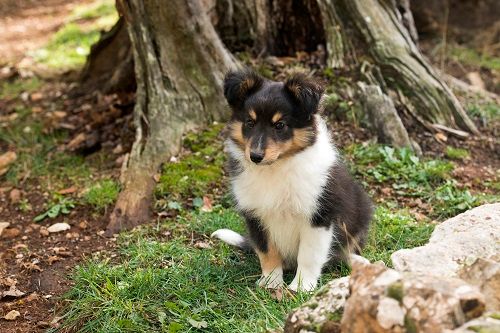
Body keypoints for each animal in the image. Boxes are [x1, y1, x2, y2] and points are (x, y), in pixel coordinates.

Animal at [210, 68, 372, 290]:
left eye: (280, 125)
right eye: (250, 122)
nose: (255, 156)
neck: (276, 168)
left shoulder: (319, 216)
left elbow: (309, 255)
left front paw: (301, 287)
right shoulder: (255, 216)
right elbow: (266, 251)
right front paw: (271, 282)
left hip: (360, 212)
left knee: (345, 249)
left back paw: (360, 262)